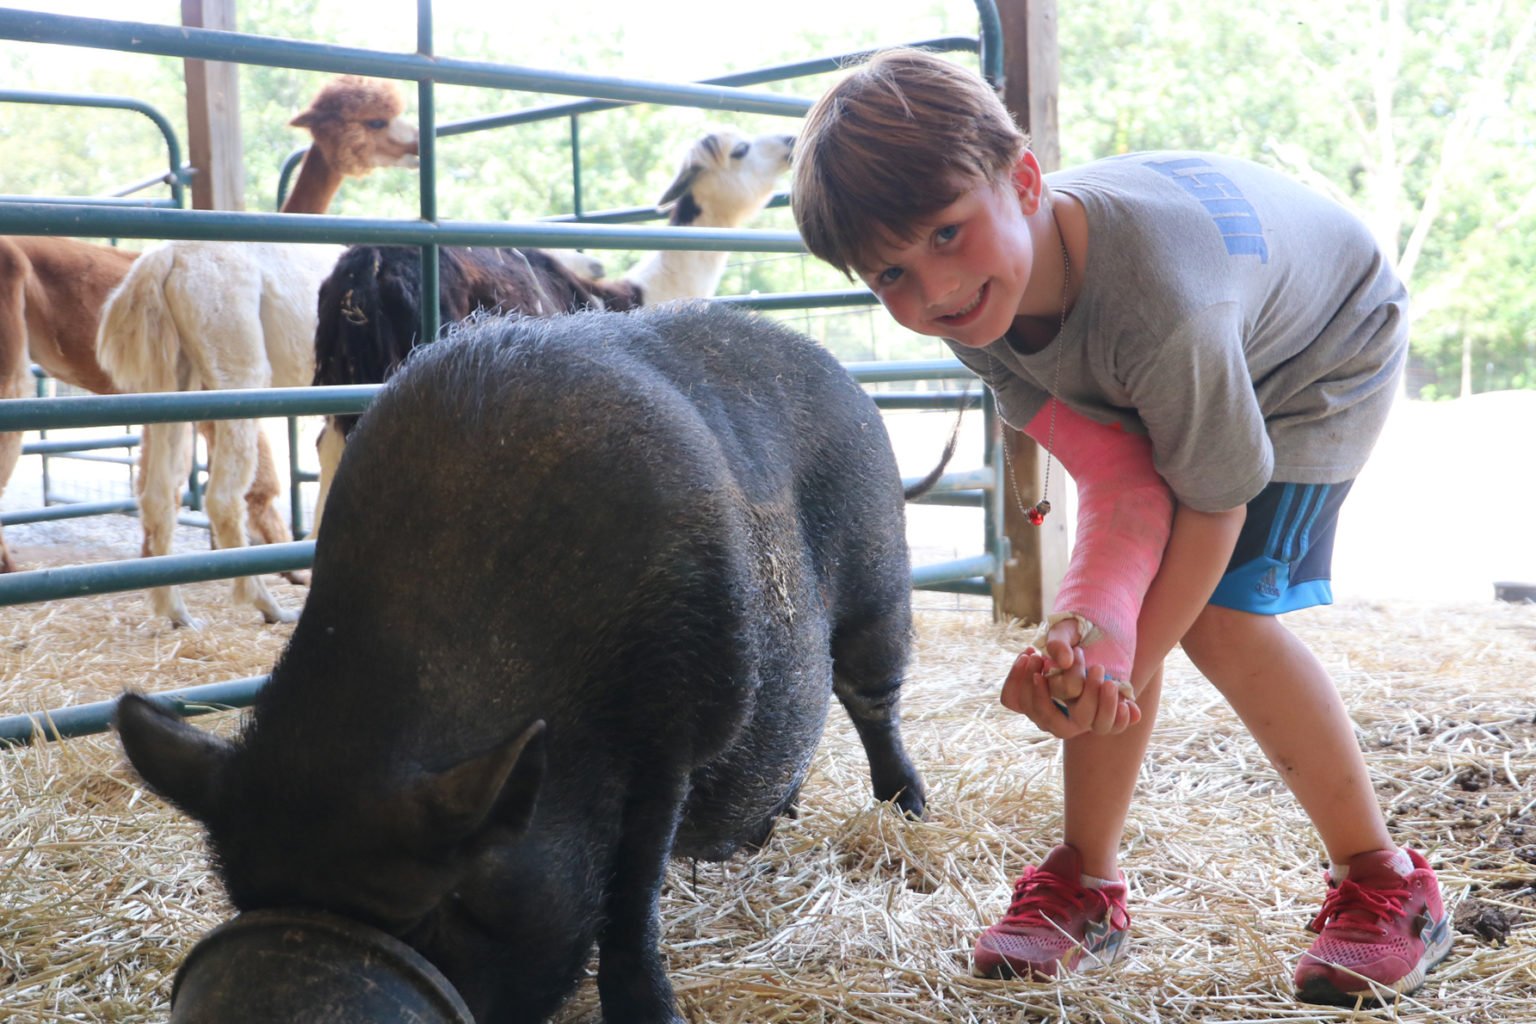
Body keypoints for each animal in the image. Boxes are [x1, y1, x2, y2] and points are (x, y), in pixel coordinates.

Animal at [115, 302, 928, 1024]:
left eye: (436, 909)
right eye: (248, 902)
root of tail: (847, 378)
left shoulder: (671, 729)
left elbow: (630, 899)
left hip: (879, 588)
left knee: (872, 702)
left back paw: (909, 809)